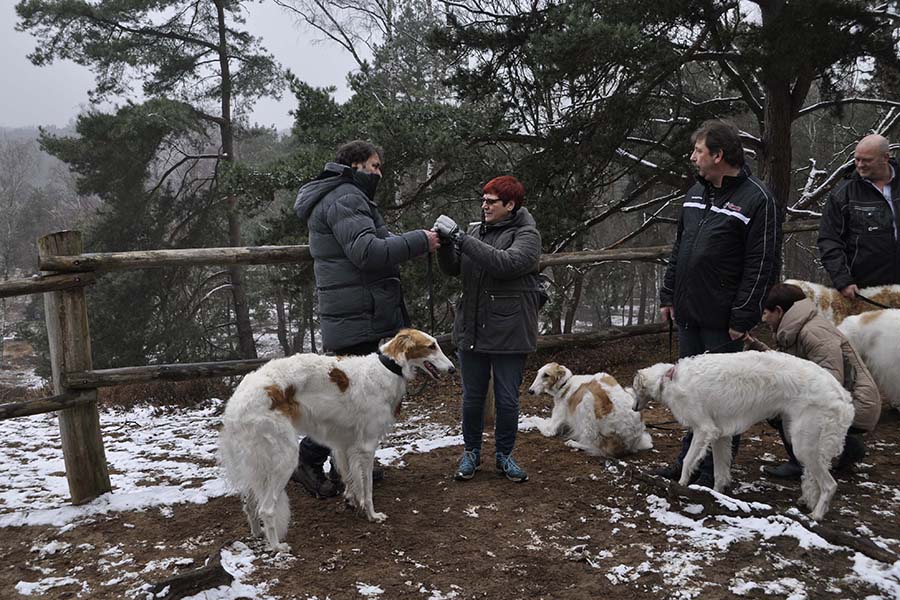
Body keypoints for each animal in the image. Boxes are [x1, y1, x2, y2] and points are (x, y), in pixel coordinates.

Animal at [218, 329, 455, 552]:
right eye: (431, 346)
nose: (453, 369)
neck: (385, 369)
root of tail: (236, 403)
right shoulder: (367, 446)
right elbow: (367, 487)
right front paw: (372, 515)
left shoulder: (344, 443)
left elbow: (350, 478)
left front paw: (351, 500)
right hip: (284, 458)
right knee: (265, 508)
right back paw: (277, 546)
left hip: (255, 463)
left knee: (249, 503)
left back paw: (258, 533)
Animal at [632, 351, 854, 521]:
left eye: (635, 389)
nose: (634, 408)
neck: (669, 379)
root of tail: (842, 394)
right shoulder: (720, 435)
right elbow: (720, 473)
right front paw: (717, 495)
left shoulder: (704, 429)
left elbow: (688, 461)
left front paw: (680, 486)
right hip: (805, 441)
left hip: (803, 444)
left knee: (830, 485)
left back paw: (816, 514)